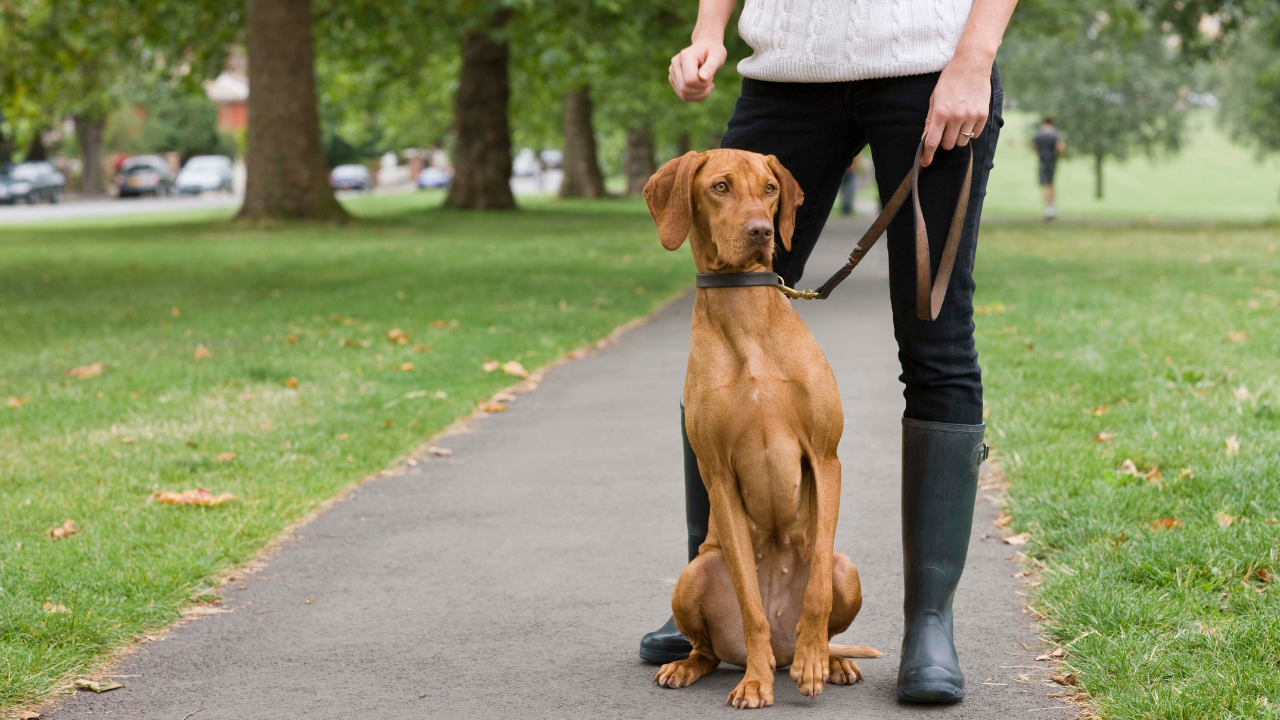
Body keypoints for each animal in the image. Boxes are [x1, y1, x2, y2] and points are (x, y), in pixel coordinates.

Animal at [640, 149, 880, 707]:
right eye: (720, 187)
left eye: (770, 188)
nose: (760, 231)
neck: (745, 312)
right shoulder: (718, 476)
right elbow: (751, 605)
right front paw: (755, 681)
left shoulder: (826, 457)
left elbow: (816, 593)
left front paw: (815, 661)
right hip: (696, 572)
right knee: (712, 647)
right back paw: (695, 664)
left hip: (847, 567)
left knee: (825, 615)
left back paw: (827, 659)